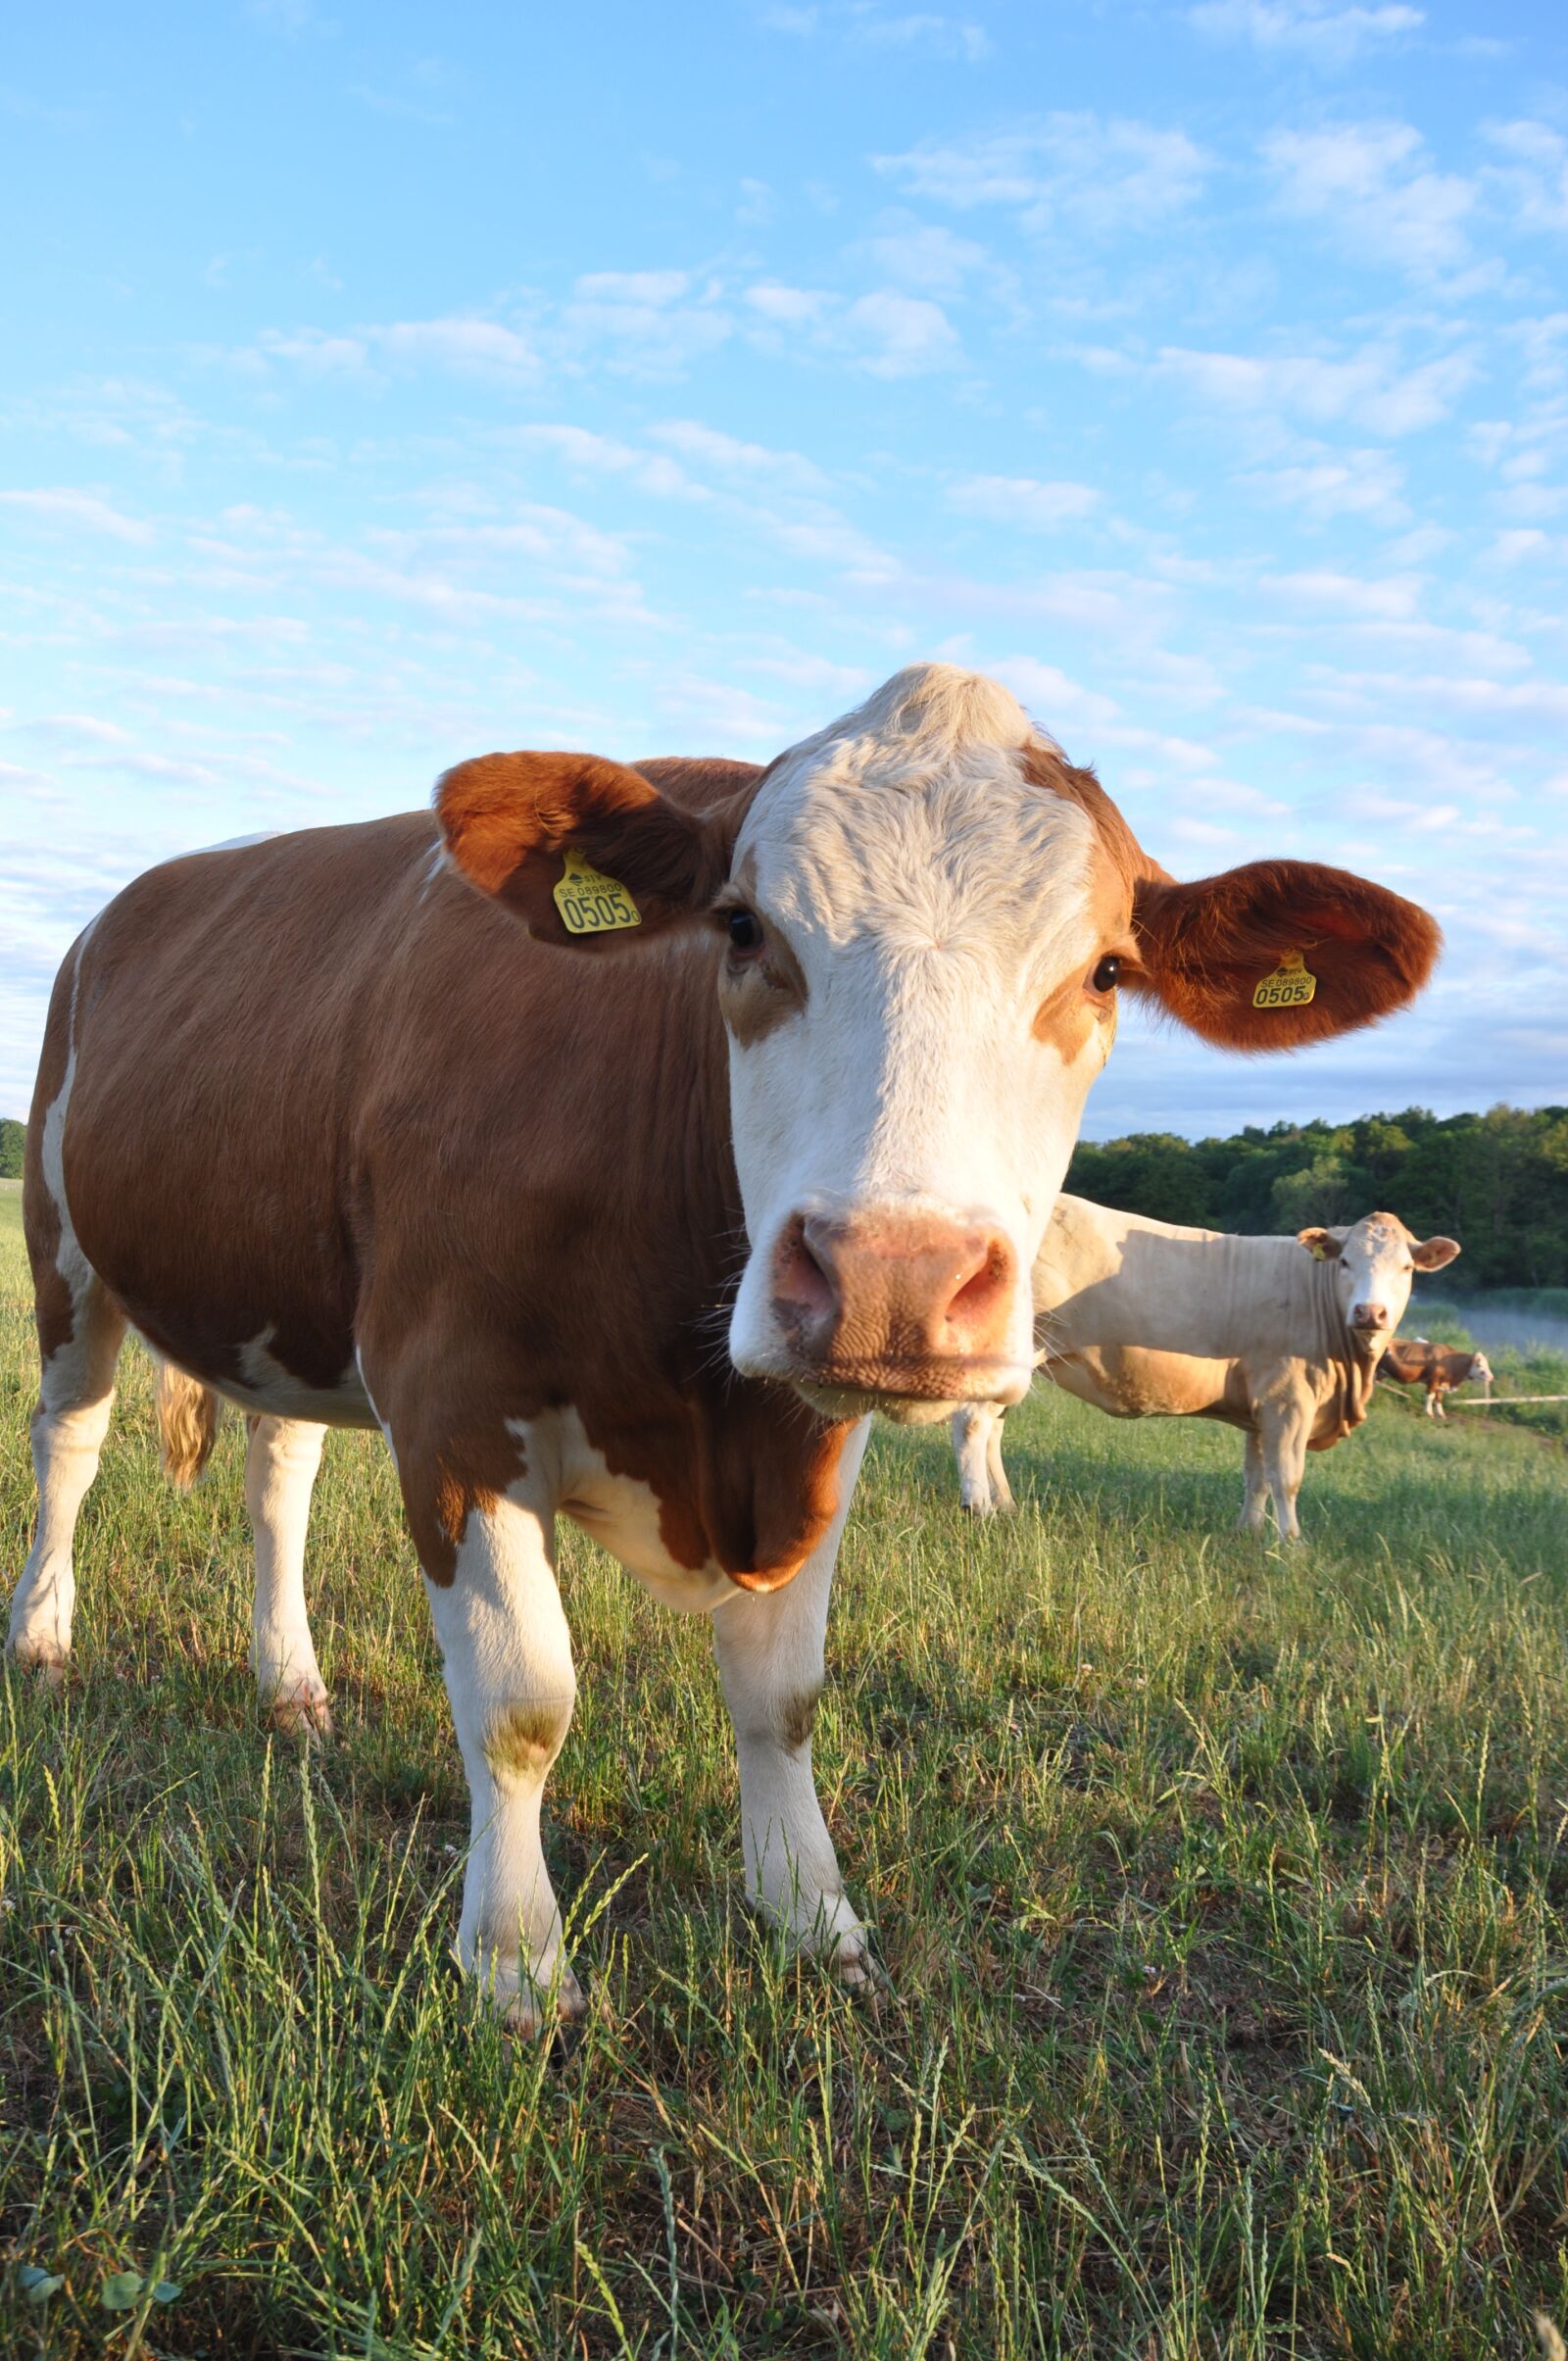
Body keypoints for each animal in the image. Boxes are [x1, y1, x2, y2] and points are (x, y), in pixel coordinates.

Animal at [951, 1197, 1460, 1537]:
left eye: (1407, 1268)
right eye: (1347, 1262)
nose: (1370, 1312)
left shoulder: (1263, 1406)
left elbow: (1257, 1476)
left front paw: (1249, 1533)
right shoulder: (1289, 1399)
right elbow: (1287, 1477)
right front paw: (1291, 1544)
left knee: (992, 1428)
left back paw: (1005, 1504)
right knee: (973, 1422)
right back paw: (979, 1505)